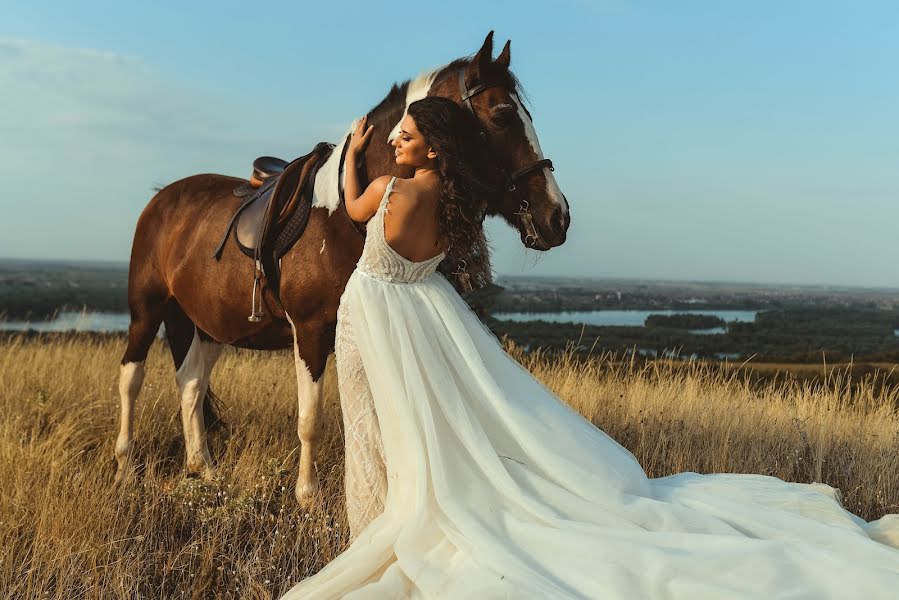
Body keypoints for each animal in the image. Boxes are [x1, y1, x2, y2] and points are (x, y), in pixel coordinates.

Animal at [116, 30, 568, 504]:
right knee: (131, 378)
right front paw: (307, 496)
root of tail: (162, 197)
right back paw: (125, 468)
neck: (340, 220)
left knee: (190, 384)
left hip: (210, 325)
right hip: (146, 309)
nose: (558, 217)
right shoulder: (311, 332)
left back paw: (202, 468)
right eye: (502, 116)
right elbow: (310, 419)